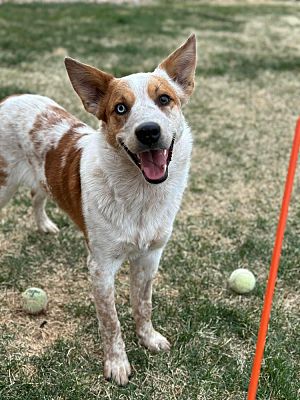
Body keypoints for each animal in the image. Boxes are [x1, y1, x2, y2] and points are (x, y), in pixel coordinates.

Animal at [0, 34, 197, 384]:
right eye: (120, 108)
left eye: (164, 99)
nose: (149, 131)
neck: (140, 195)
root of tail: (10, 98)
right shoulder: (100, 267)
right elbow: (111, 322)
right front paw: (117, 365)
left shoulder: (150, 256)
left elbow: (143, 304)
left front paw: (148, 338)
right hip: (4, 183)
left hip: (42, 178)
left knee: (37, 194)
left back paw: (44, 225)